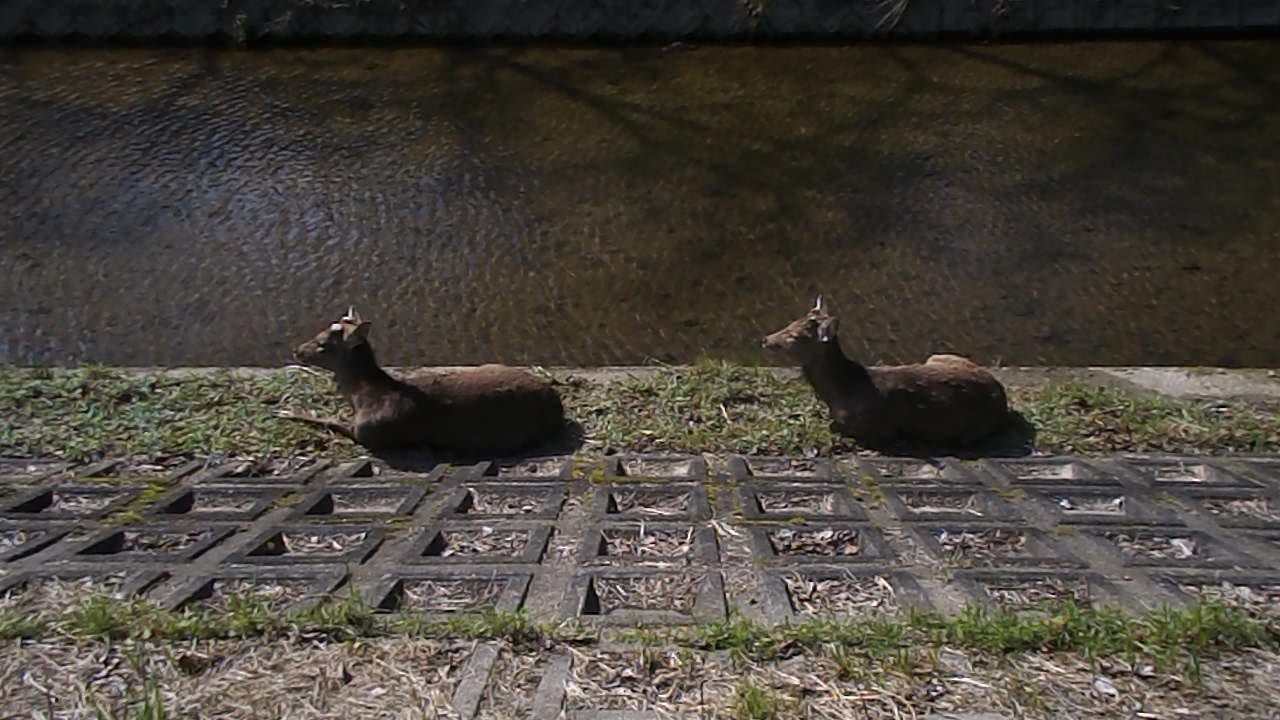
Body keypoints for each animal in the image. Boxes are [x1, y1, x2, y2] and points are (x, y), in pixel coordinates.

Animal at [275, 307, 566, 456]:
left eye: (323, 344)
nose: (297, 351)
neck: (362, 397)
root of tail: (556, 405)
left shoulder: (369, 433)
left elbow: (330, 421)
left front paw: (285, 411)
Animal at [761, 295, 1011, 449]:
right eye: (790, 323)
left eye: (794, 335)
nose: (765, 339)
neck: (839, 392)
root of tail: (1001, 394)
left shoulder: (877, 429)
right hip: (937, 355)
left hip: (968, 433)